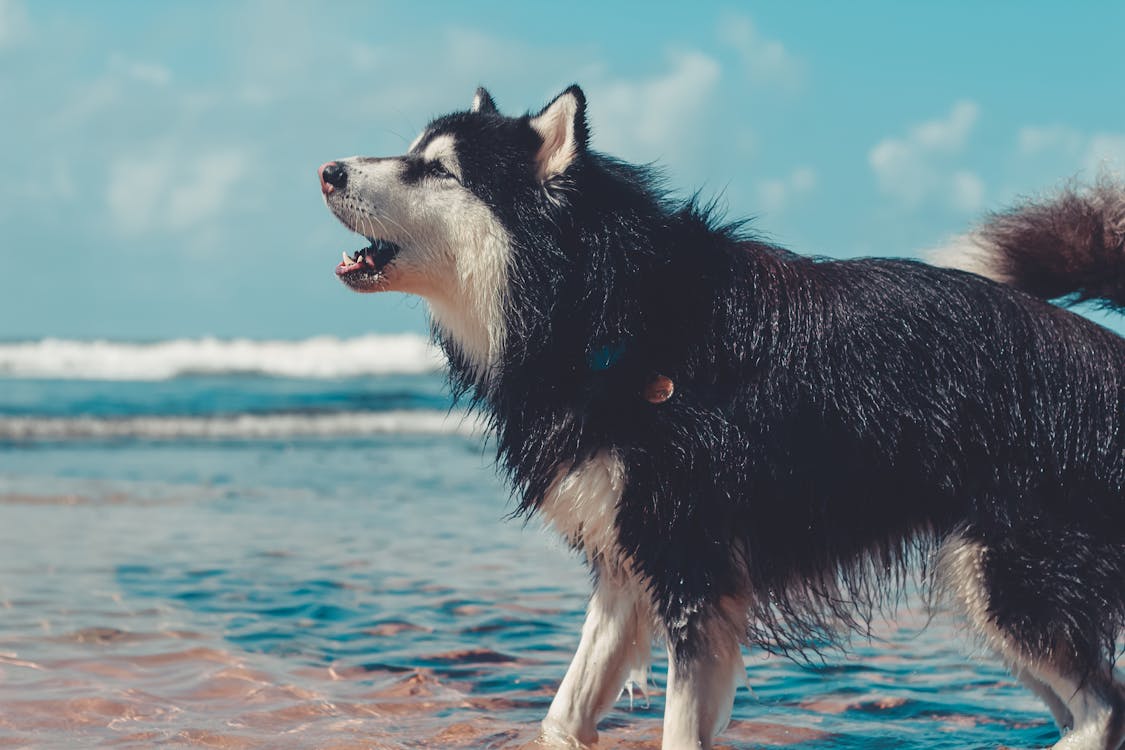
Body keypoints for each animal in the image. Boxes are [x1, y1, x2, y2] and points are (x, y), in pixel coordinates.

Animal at [319, 84, 1125, 746]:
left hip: (1008, 580)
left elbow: (678, 726)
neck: (605, 311)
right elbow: (564, 713)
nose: (327, 170)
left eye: (438, 171)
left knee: (1101, 712)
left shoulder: (690, 566)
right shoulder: (627, 562)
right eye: (412, 153)